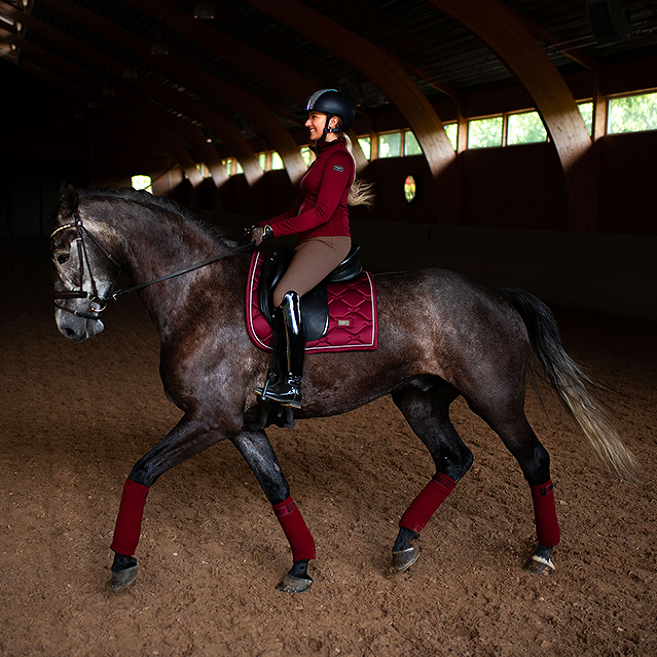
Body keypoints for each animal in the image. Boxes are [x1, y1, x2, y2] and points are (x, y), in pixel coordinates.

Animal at [48, 186, 632, 596]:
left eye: (60, 254)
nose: (69, 326)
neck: (198, 292)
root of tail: (498, 294)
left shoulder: (207, 419)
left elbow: (141, 472)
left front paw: (121, 563)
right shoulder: (238, 425)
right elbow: (277, 489)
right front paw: (301, 566)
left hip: (497, 399)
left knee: (534, 460)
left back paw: (543, 552)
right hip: (420, 399)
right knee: (454, 459)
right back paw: (404, 543)